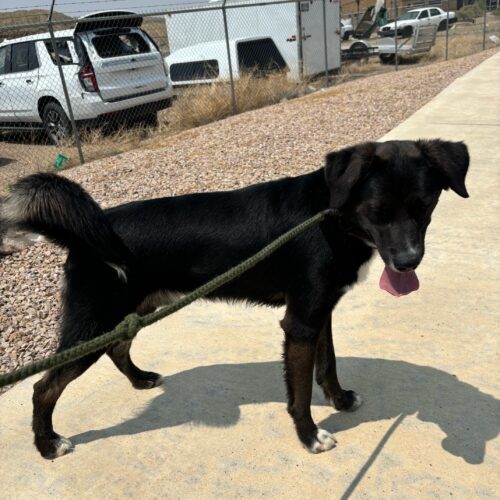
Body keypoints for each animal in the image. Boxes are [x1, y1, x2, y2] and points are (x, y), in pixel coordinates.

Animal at [0, 139, 468, 458]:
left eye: (425, 206)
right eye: (377, 211)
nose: (408, 263)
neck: (330, 216)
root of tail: (82, 237)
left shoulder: (320, 312)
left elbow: (329, 365)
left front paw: (339, 400)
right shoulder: (300, 323)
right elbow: (299, 392)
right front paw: (309, 435)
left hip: (131, 310)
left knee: (118, 347)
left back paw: (140, 379)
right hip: (92, 323)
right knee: (43, 387)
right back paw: (47, 443)